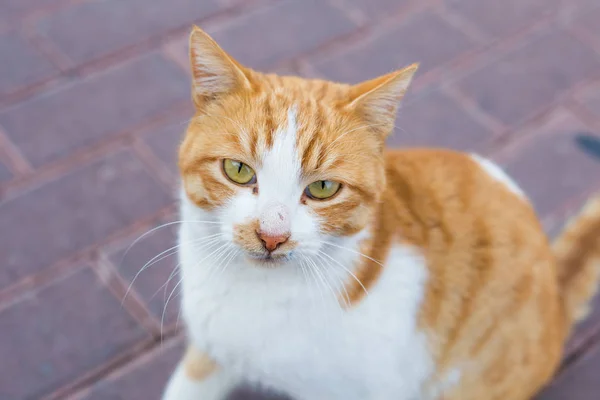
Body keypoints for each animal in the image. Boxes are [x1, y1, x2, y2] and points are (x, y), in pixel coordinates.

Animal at [162, 26, 600, 398]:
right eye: (238, 170)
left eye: (323, 188)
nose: (272, 236)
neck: (254, 292)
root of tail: (556, 291)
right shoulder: (210, 351)